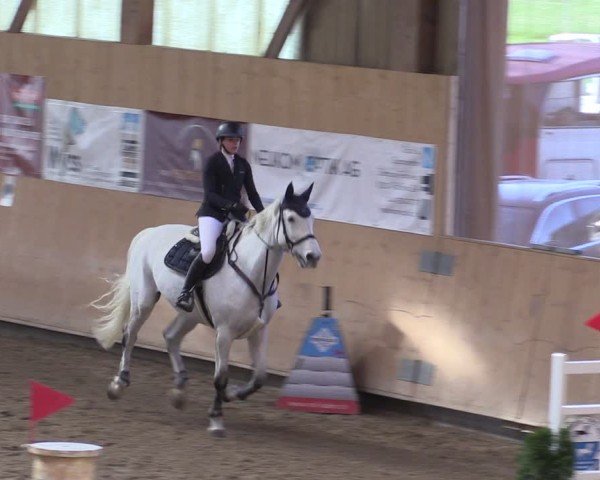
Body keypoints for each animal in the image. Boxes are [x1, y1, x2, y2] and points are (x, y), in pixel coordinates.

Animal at [91, 182, 321, 435]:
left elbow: (260, 377)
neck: (252, 271)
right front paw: (216, 419)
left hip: (191, 315)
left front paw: (231, 394)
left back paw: (179, 390)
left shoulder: (259, 331)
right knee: (130, 334)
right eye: (290, 218)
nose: (313, 256)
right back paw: (119, 383)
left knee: (170, 336)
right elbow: (220, 377)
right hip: (144, 300)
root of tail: (148, 232)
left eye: (311, 219)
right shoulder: (224, 333)